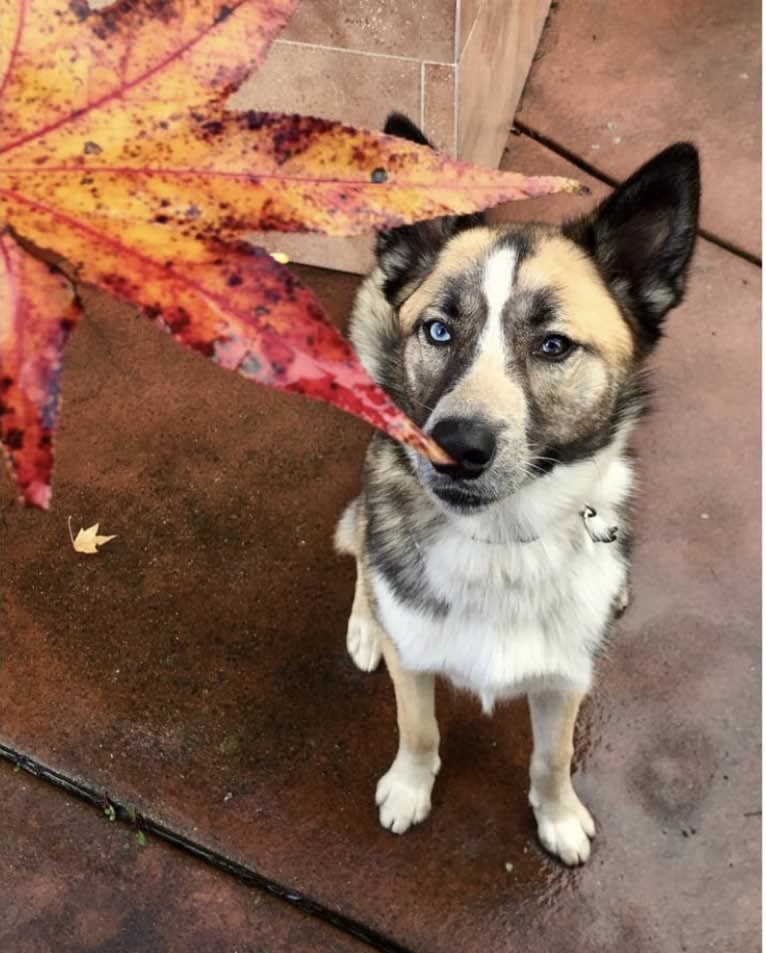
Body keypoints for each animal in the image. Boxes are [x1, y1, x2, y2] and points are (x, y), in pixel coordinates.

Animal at [336, 115, 704, 868]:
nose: (456, 446)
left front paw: (558, 816)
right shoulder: (413, 662)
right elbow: (418, 728)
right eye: (438, 329)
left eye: (554, 345)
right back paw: (364, 622)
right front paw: (409, 788)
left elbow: (552, 757)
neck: (503, 540)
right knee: (360, 544)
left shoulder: (564, 682)